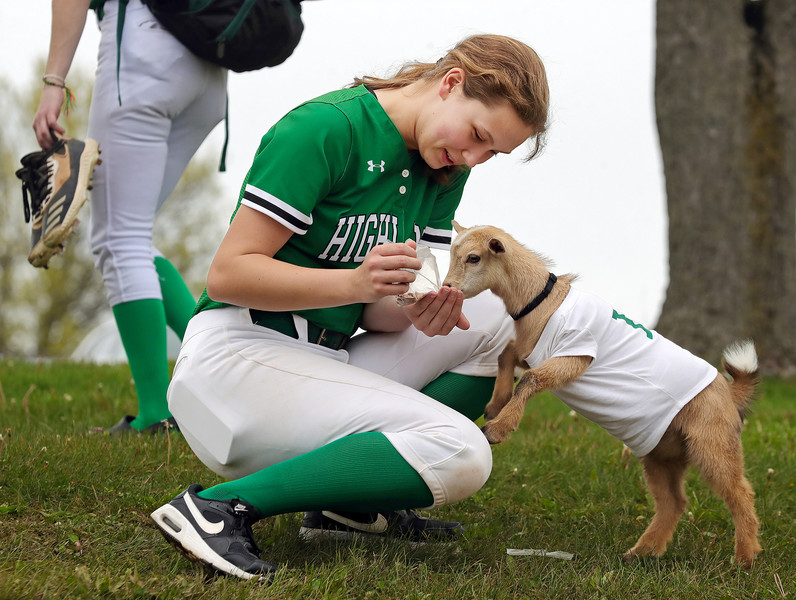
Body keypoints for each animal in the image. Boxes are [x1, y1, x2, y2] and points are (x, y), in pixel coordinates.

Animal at [444, 223, 760, 568]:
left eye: (474, 257)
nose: (447, 287)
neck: (544, 302)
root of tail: (729, 392)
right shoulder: (534, 350)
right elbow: (506, 354)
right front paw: (495, 405)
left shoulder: (575, 354)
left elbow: (529, 378)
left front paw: (499, 428)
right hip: (663, 453)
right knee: (673, 501)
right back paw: (642, 552)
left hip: (713, 441)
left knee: (739, 492)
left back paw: (745, 557)